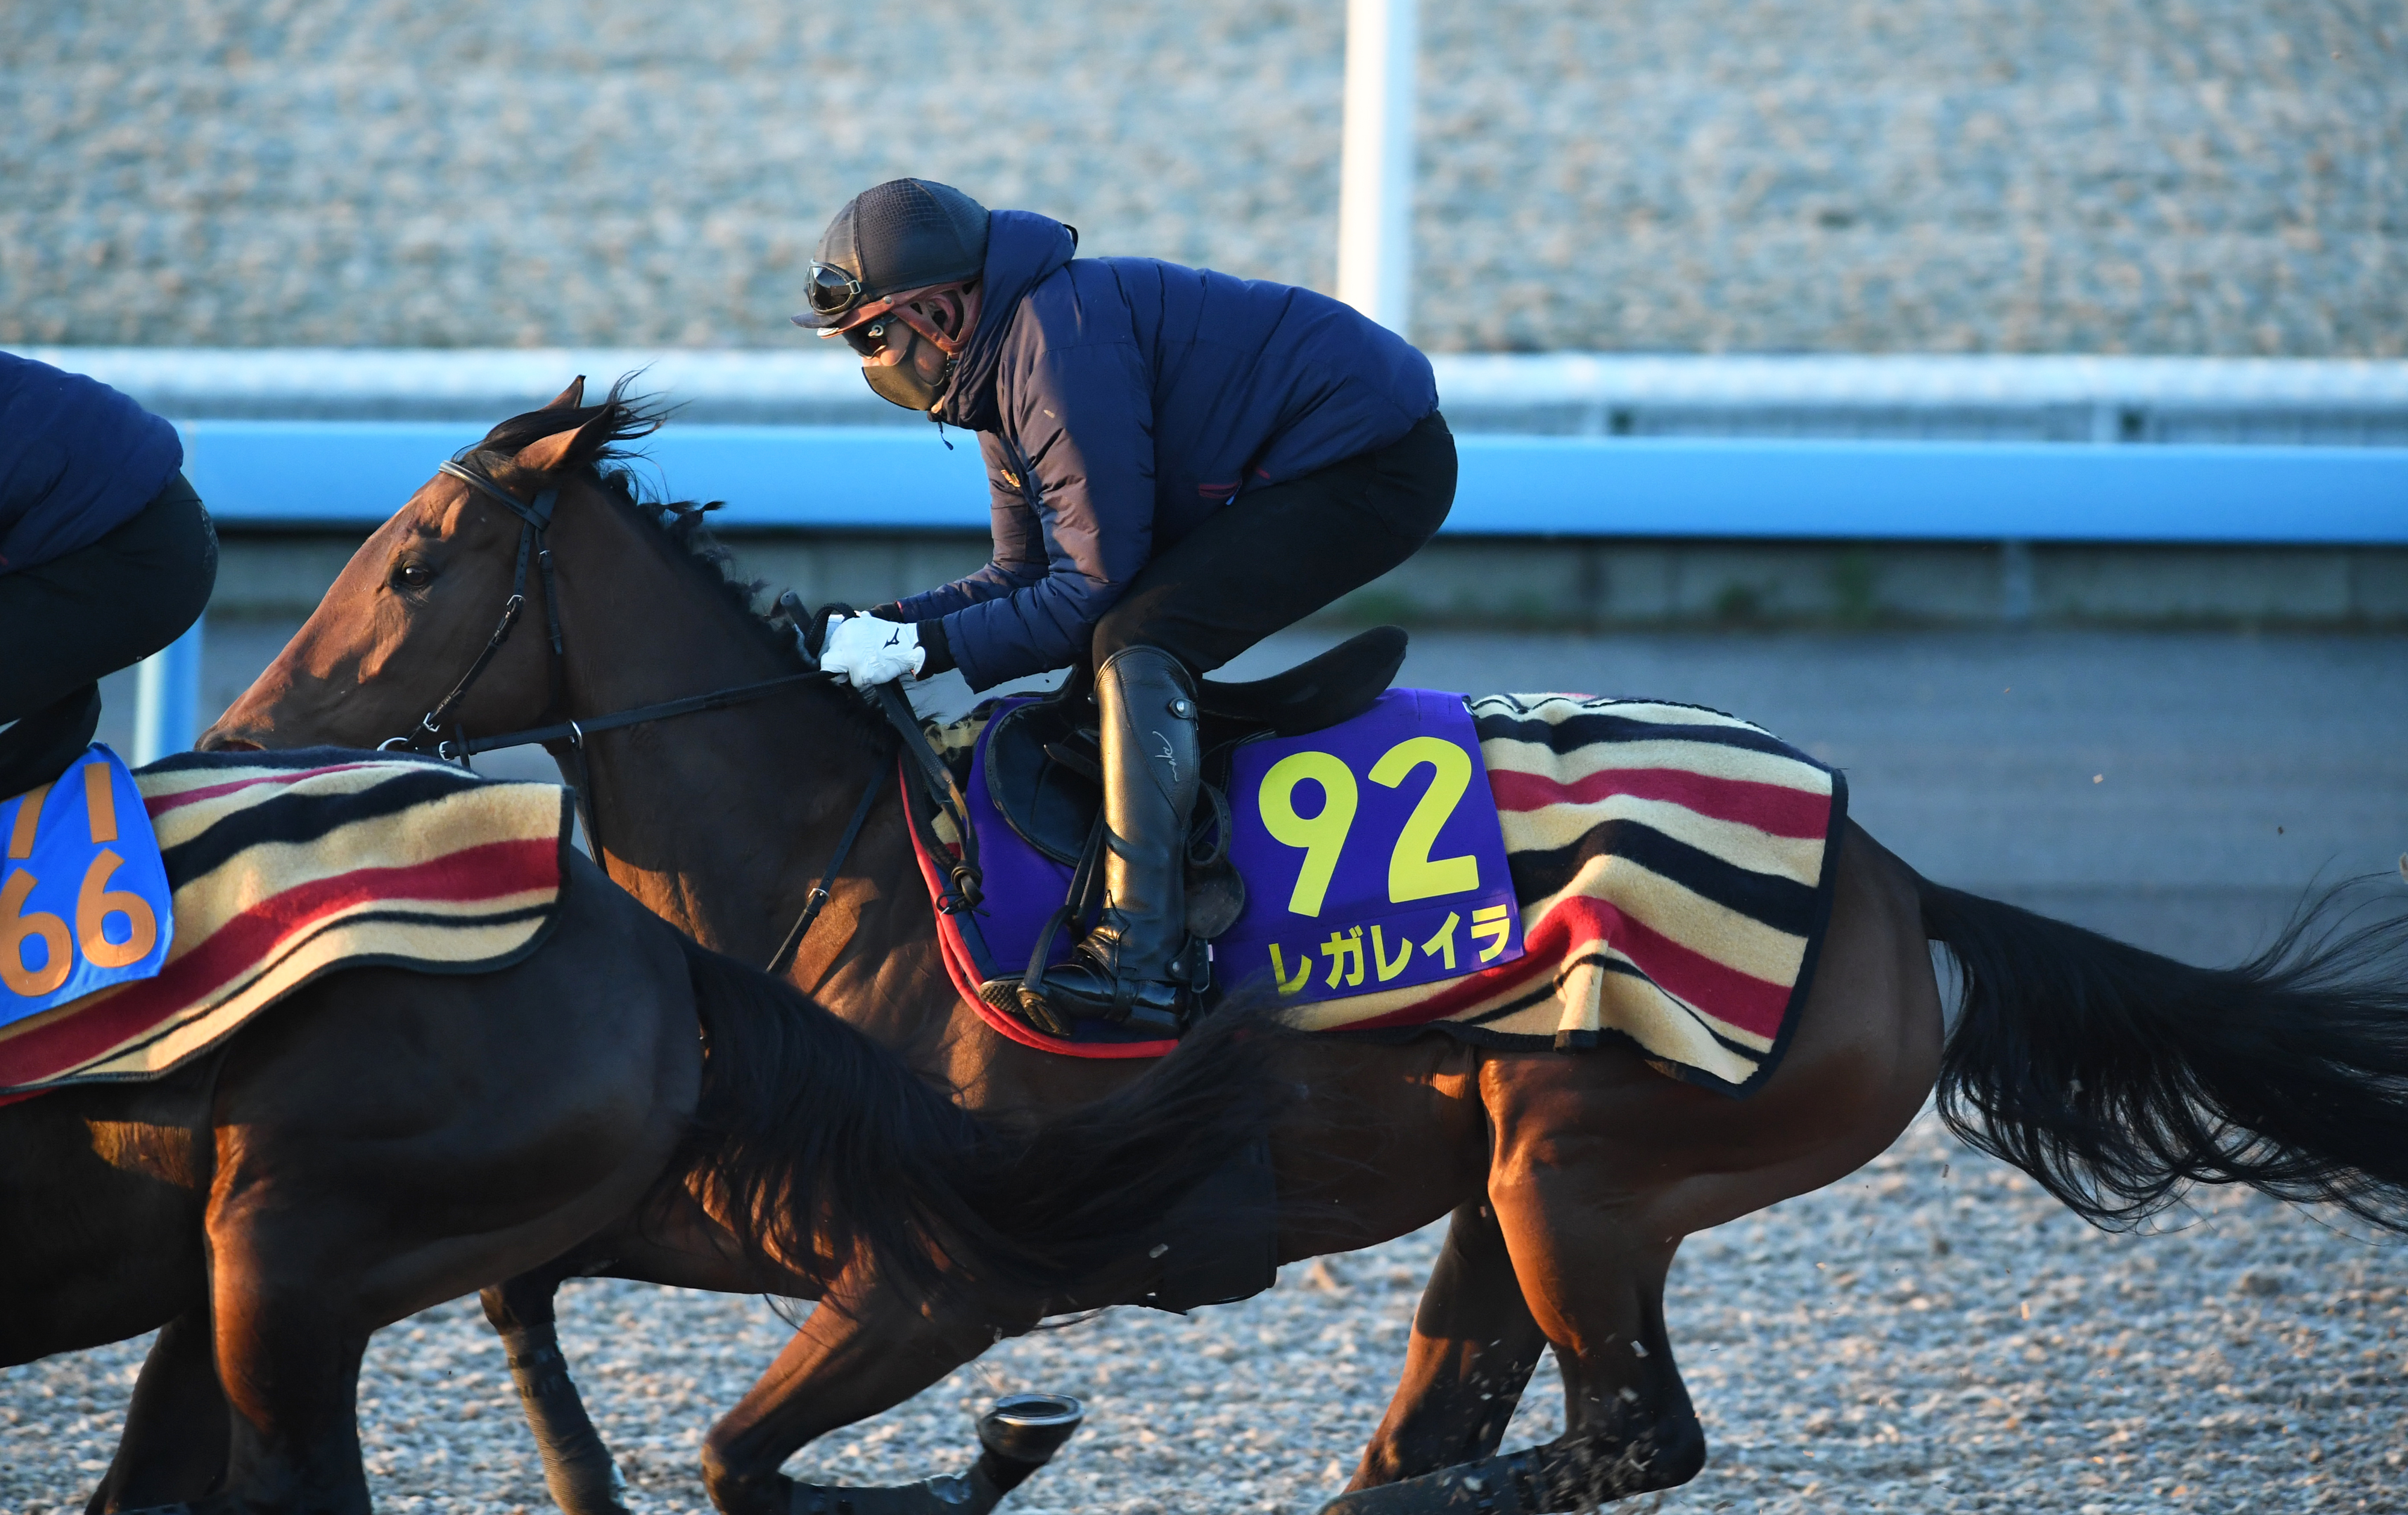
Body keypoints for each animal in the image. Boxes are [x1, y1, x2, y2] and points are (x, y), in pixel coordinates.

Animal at [195, 378, 2408, 1515]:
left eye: (413, 559)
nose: (231, 736)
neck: (829, 862)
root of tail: (1889, 873)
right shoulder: (760, 1199)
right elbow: (532, 1301)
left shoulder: (951, 1269)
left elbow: (749, 1451)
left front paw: (989, 1455)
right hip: (1509, 1187)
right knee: (1493, 1415)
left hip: (1590, 1171)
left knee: (1626, 1437)